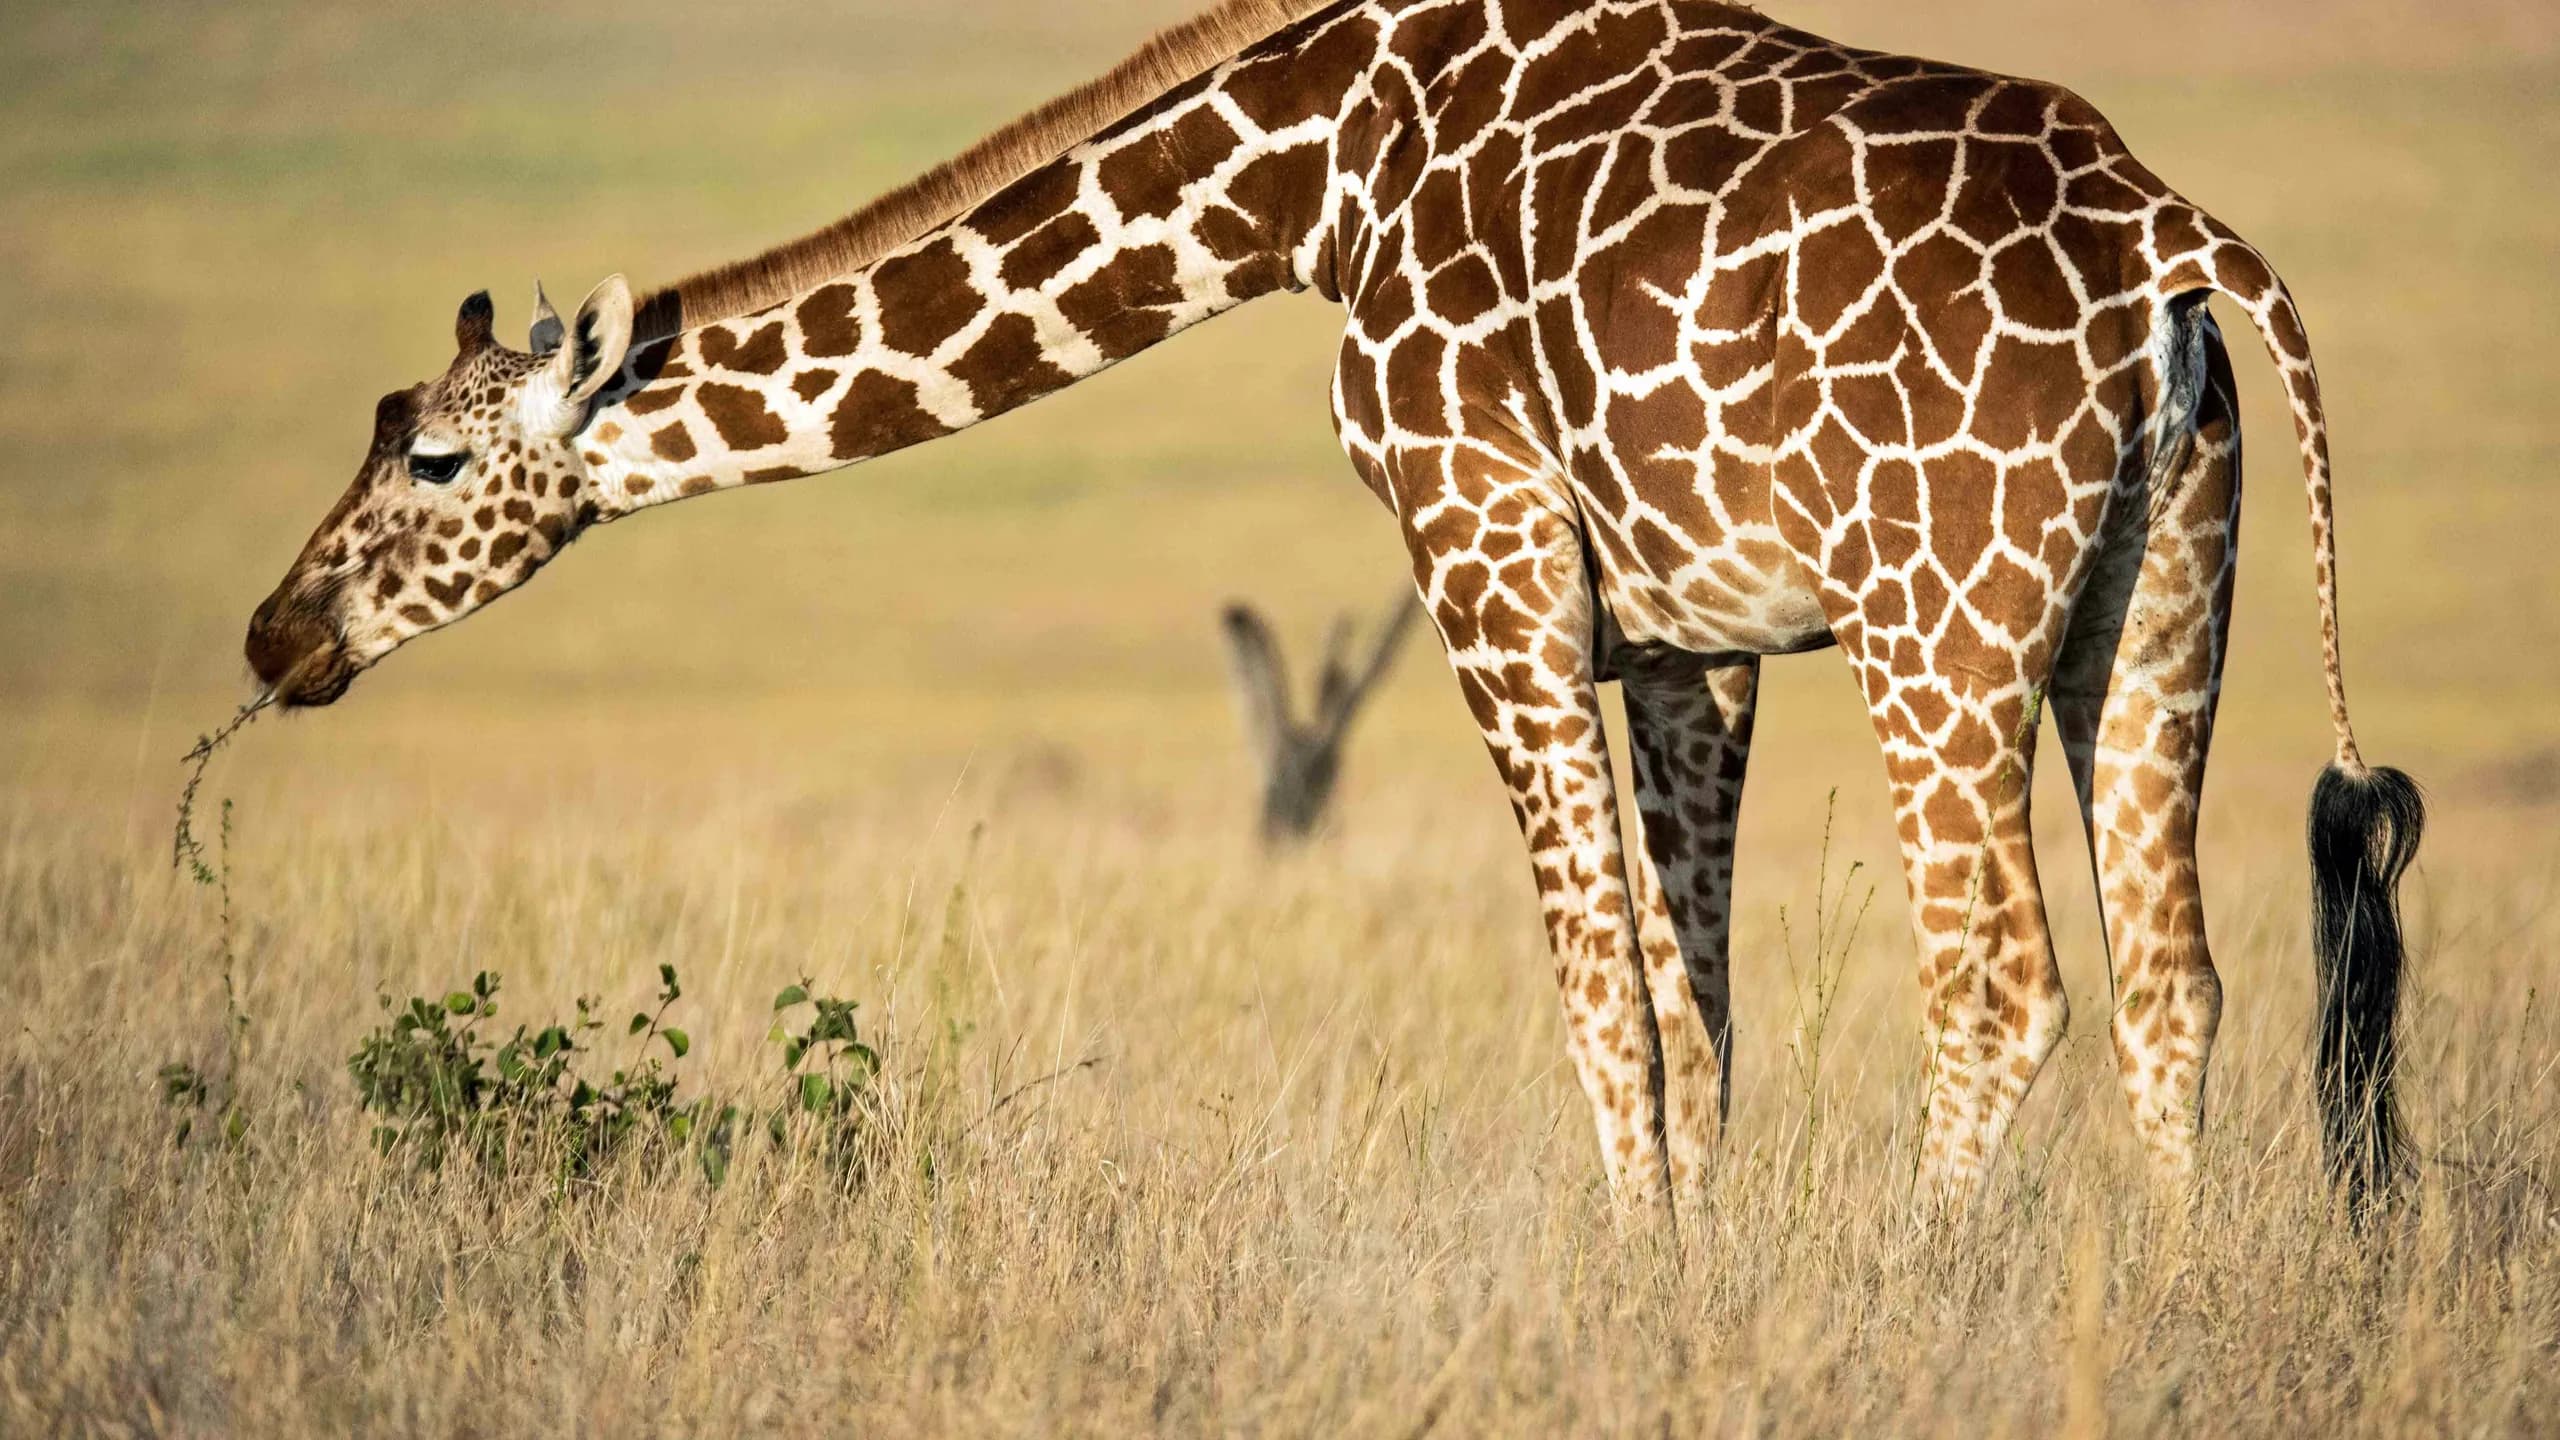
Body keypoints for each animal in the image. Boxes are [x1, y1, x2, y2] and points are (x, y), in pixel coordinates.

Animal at [245, 0, 2425, 1213]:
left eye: (426, 458)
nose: (276, 638)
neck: (1310, 175)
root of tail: (2166, 235)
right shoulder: (1685, 628)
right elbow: (1697, 1005)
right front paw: (1695, 1296)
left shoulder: (1479, 544)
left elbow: (1602, 1000)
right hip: (2155, 594)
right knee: (2171, 981)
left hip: (1940, 617)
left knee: (1996, 984)